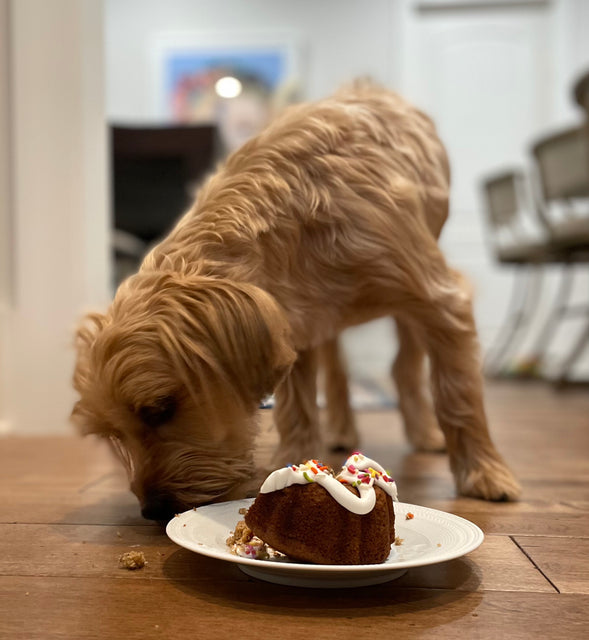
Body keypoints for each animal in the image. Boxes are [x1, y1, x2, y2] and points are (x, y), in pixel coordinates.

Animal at [72, 81, 520, 520]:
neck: (293, 219)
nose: (152, 509)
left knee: (405, 366)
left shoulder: (439, 299)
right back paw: (340, 427)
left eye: (160, 408)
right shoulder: (294, 325)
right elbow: (298, 406)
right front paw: (292, 462)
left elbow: (458, 393)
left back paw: (424, 432)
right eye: (113, 432)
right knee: (337, 370)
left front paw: (485, 472)